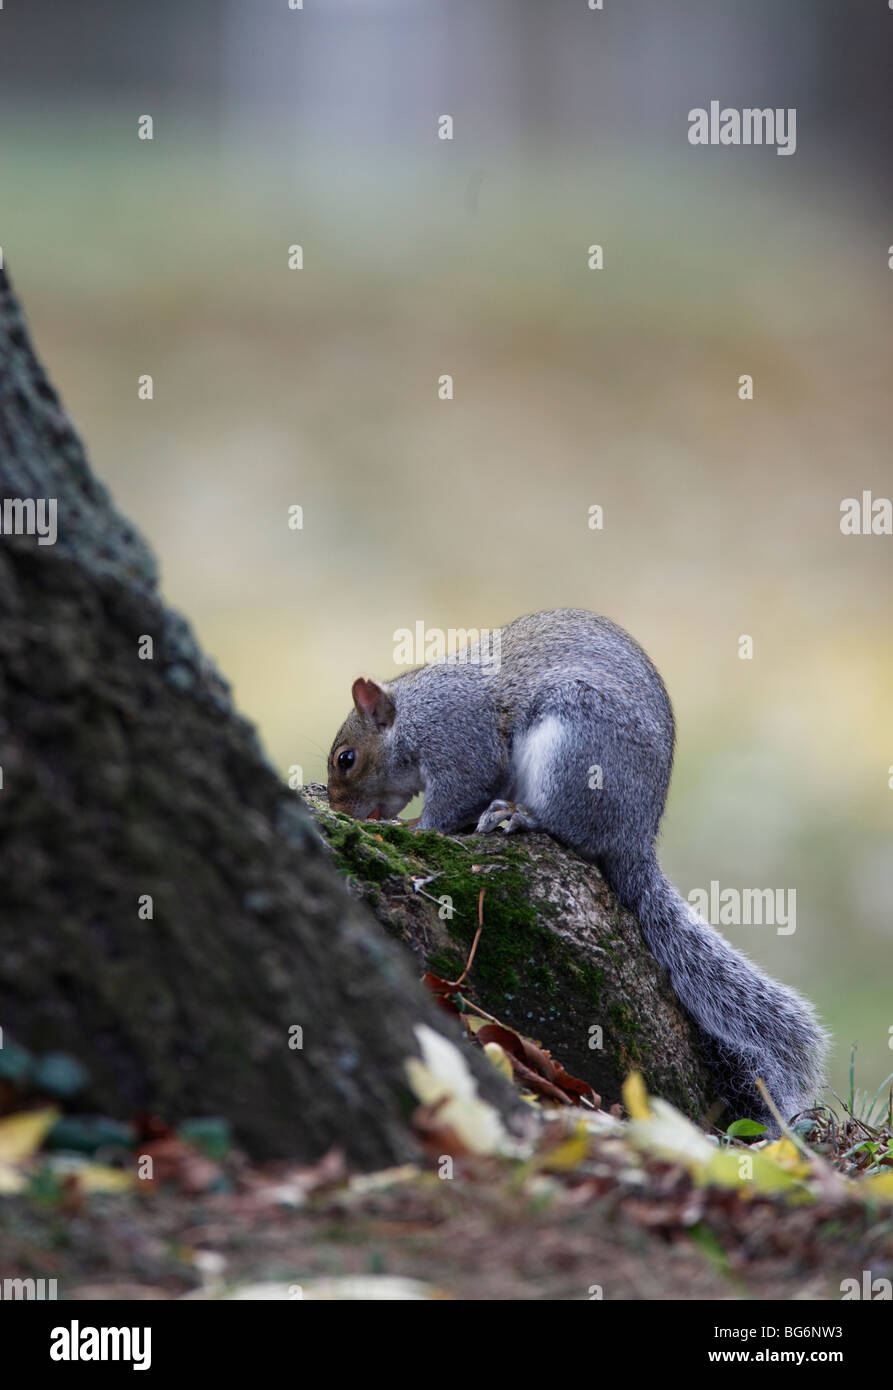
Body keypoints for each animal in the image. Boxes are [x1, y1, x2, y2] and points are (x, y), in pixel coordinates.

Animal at [327, 608, 827, 1128]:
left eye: (346, 759)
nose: (341, 808)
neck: (412, 713)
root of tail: (634, 838)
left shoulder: (458, 736)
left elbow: (459, 792)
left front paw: (418, 827)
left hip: (575, 748)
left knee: (569, 828)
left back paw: (520, 816)